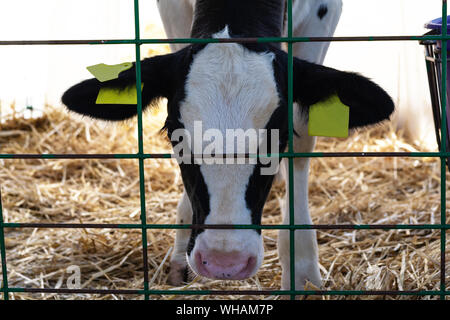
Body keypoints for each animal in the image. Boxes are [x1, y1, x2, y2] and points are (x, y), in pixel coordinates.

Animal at [63, 0, 394, 290]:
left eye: (280, 137)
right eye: (174, 133)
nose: (225, 262)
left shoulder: (323, 15)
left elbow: (303, 141)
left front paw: (302, 271)